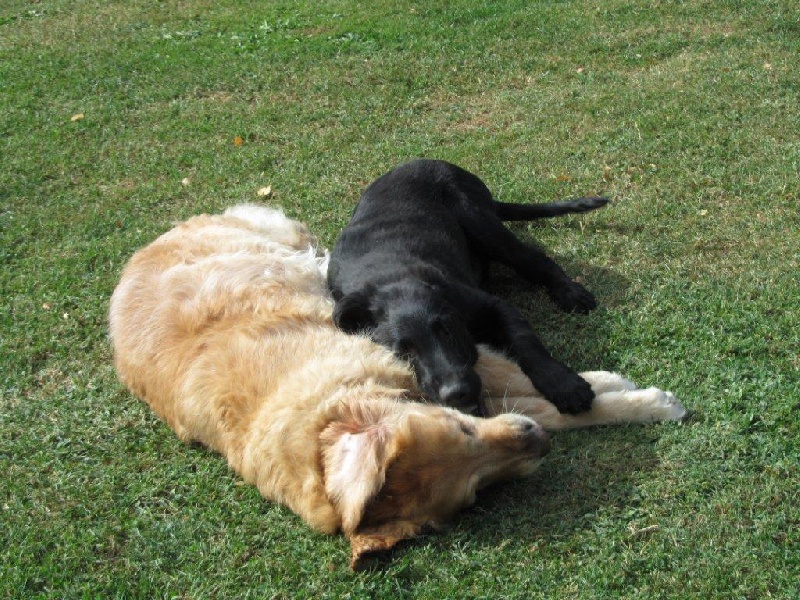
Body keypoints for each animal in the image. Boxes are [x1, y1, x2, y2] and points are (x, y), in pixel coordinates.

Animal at [109, 205, 685, 568]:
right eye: (477, 493)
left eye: (461, 428)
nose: (536, 446)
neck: (326, 408)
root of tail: (150, 242)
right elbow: (544, 405)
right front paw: (624, 397)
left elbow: (531, 373)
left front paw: (618, 391)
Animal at [328, 159, 608, 417]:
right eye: (403, 352)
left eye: (447, 329)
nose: (457, 392)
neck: (392, 278)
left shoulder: (492, 305)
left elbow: (526, 342)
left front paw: (563, 384)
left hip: (480, 222)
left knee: (537, 260)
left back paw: (570, 292)